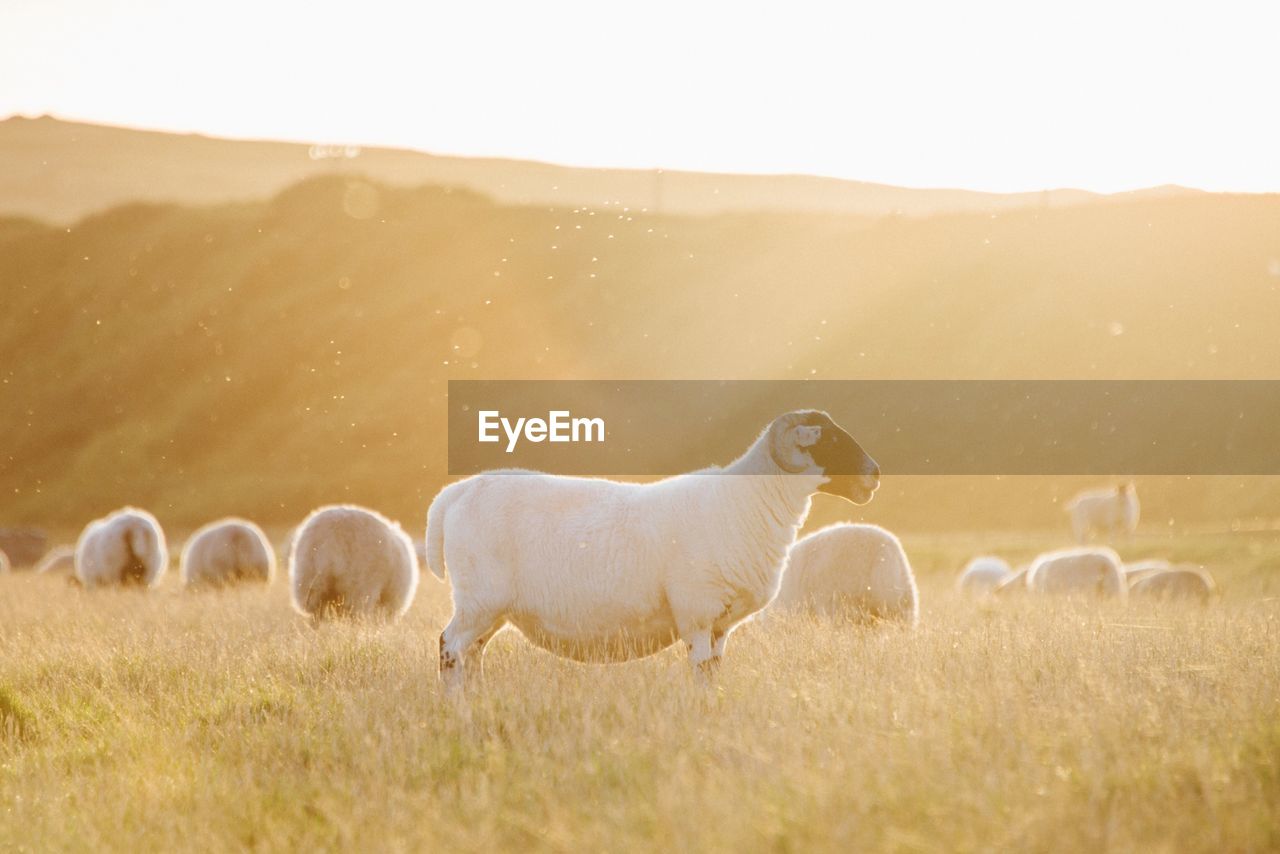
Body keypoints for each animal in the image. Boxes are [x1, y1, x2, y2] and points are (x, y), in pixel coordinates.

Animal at [427, 409, 880, 686]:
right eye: (829, 441)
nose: (875, 474)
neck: (748, 502)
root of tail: (456, 492)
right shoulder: (697, 613)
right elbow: (702, 676)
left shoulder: (720, 625)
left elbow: (715, 674)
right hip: (478, 600)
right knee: (449, 647)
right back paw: (458, 711)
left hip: (491, 610)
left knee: (473, 655)